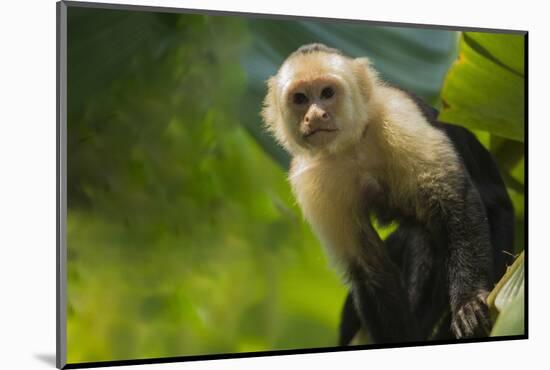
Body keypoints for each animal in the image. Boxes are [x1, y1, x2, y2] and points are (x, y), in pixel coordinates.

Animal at [260, 43, 516, 344]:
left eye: (327, 93)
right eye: (300, 98)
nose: (315, 115)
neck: (353, 145)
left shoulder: (397, 115)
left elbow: (456, 203)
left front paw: (468, 301)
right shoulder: (310, 176)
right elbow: (370, 268)